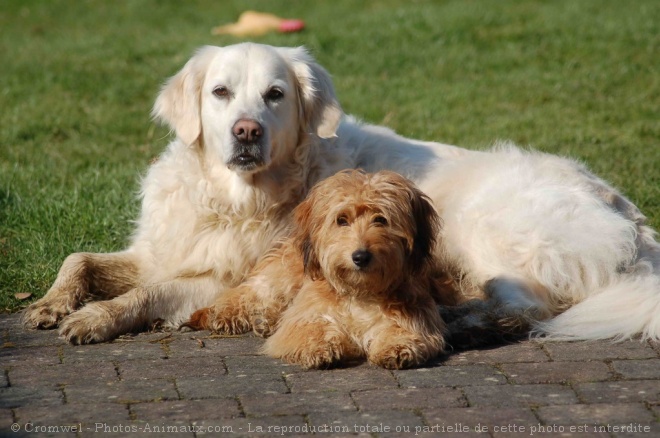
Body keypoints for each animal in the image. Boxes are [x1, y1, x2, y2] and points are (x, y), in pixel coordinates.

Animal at [23, 44, 660, 346]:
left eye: (275, 94)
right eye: (221, 92)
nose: (246, 132)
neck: (232, 200)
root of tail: (628, 215)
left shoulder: (229, 276)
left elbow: (147, 295)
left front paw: (93, 318)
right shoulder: (160, 249)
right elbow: (80, 259)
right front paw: (52, 303)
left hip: (482, 226)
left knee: (525, 305)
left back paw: (458, 320)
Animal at [188, 169, 452, 368]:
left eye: (381, 219)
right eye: (341, 220)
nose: (360, 256)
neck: (360, 292)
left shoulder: (416, 314)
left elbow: (403, 330)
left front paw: (397, 347)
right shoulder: (309, 312)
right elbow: (306, 329)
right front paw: (317, 348)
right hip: (281, 276)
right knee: (248, 293)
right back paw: (226, 315)